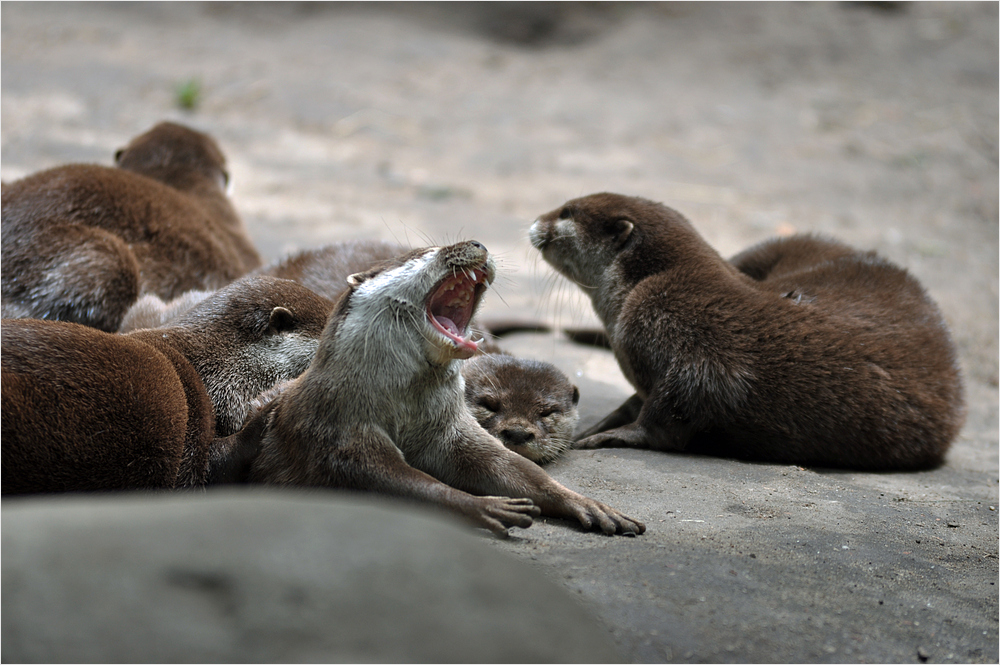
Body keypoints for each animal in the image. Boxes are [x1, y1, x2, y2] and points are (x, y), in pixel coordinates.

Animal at [231, 241, 644, 536]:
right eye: (425, 253)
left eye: (546, 412)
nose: (478, 244)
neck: (403, 405)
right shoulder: (338, 431)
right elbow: (395, 480)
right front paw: (481, 505)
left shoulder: (450, 428)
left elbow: (513, 468)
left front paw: (585, 503)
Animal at [528, 192, 964, 472]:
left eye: (567, 211)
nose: (535, 221)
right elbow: (641, 396)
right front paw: (600, 422)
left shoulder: (682, 324)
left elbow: (684, 400)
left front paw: (615, 435)